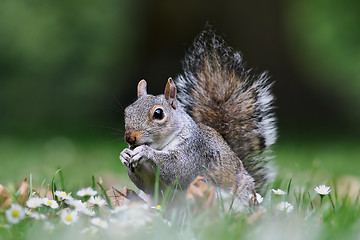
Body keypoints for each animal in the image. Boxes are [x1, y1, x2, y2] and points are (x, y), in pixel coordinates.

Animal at [119, 28, 278, 210]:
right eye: (127, 111)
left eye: (158, 114)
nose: (129, 137)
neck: (161, 146)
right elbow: (147, 185)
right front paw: (124, 154)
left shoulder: (196, 151)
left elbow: (179, 170)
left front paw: (145, 152)